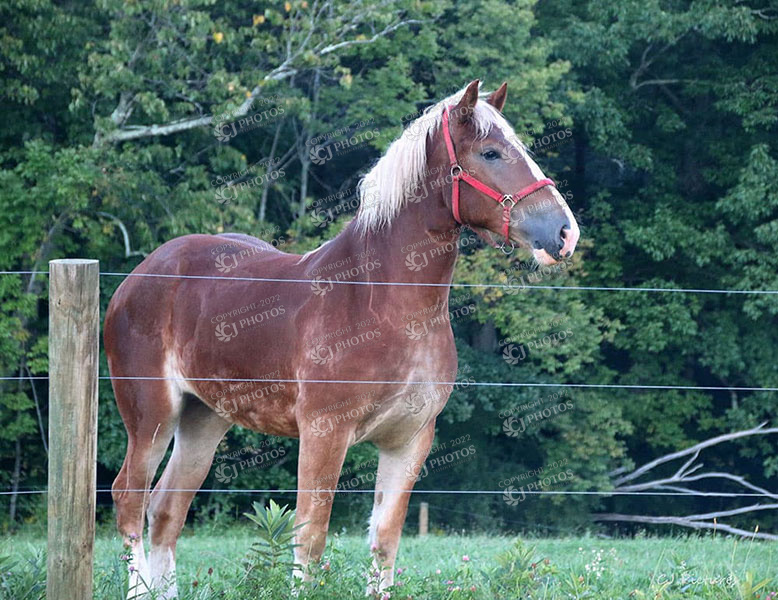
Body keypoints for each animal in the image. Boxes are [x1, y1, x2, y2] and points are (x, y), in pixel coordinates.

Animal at [104, 79, 580, 599]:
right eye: (490, 152)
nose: (564, 233)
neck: (380, 302)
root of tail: (137, 277)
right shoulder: (323, 433)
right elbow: (310, 537)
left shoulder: (409, 441)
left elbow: (385, 540)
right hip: (152, 416)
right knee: (129, 498)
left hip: (203, 419)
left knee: (165, 510)